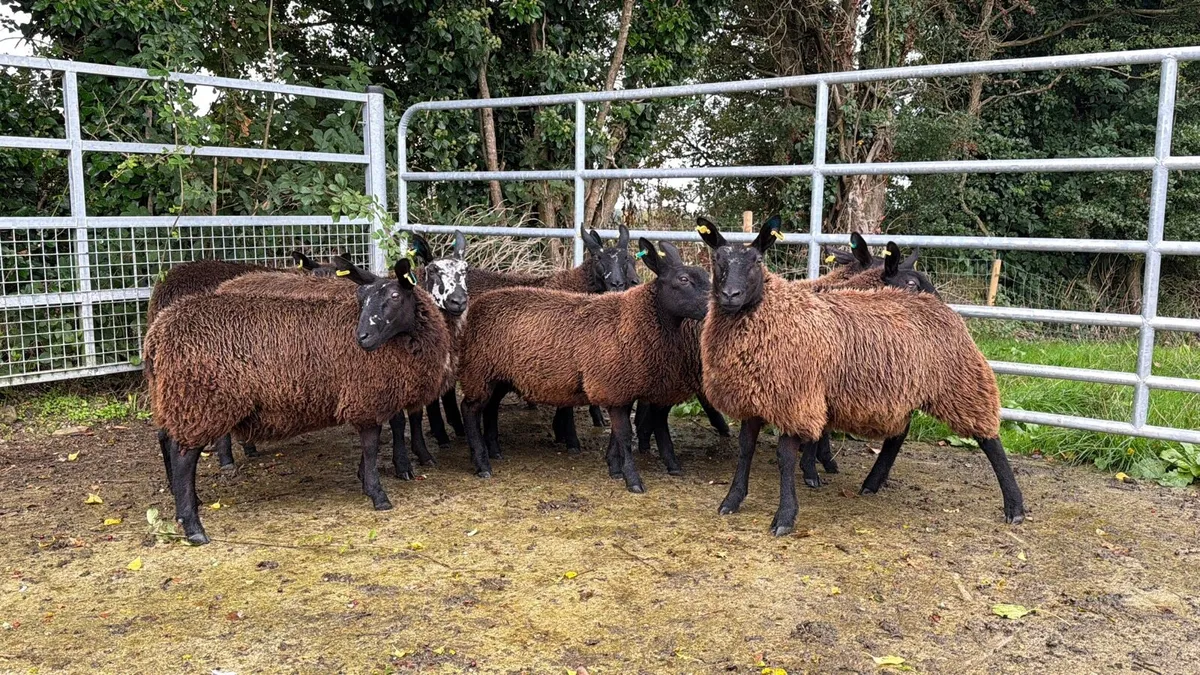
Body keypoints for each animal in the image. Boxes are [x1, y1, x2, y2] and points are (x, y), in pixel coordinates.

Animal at [145, 256, 452, 544]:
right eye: (361, 298)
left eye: (395, 296)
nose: (362, 337)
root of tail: (157, 335)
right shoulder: (365, 397)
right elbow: (371, 446)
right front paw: (378, 495)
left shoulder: (372, 400)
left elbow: (371, 448)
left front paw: (365, 479)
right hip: (201, 401)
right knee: (184, 459)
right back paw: (193, 527)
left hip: (178, 399)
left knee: (168, 439)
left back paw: (185, 504)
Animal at [456, 239, 712, 492]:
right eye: (683, 280)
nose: (714, 308)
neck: (634, 319)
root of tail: (479, 305)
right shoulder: (613, 386)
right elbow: (624, 436)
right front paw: (633, 480)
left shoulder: (623, 388)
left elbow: (617, 436)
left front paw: (614, 468)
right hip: (478, 370)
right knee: (468, 409)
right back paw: (482, 463)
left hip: (499, 374)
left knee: (489, 407)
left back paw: (493, 451)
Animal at [697, 216, 1025, 536]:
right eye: (718, 261)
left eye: (756, 261)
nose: (730, 295)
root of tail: (942, 309)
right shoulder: (754, 396)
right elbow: (745, 449)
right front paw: (732, 500)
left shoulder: (797, 399)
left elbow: (785, 458)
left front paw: (786, 514)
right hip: (904, 388)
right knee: (899, 433)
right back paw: (872, 483)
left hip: (960, 380)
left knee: (989, 439)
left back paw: (1015, 506)